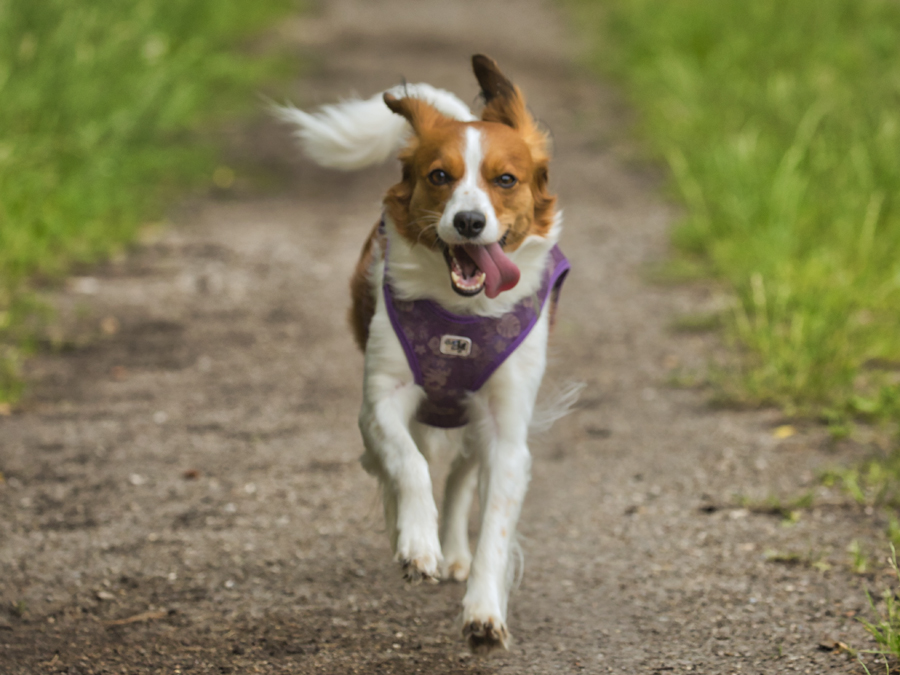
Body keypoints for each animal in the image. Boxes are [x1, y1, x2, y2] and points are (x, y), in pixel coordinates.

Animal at [278, 56, 568, 648]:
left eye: (506, 179)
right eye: (440, 176)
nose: (469, 222)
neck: (461, 317)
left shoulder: (507, 430)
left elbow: (494, 525)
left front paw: (483, 610)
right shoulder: (380, 401)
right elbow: (407, 464)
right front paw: (416, 544)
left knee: (460, 476)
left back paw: (454, 550)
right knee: (402, 462)